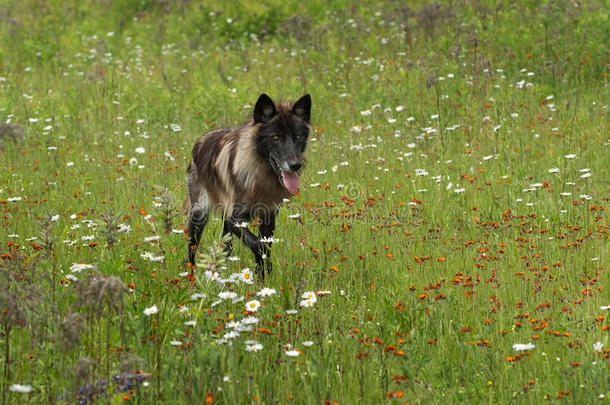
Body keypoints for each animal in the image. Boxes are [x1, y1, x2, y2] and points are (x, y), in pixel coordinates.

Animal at [184, 93, 308, 276]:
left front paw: (264, 278)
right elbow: (259, 245)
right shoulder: (235, 219)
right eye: (275, 137)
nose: (295, 165)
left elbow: (265, 246)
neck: (261, 177)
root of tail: (201, 139)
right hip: (199, 216)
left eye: (298, 137)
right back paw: (191, 277)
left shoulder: (268, 218)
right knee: (192, 250)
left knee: (224, 247)